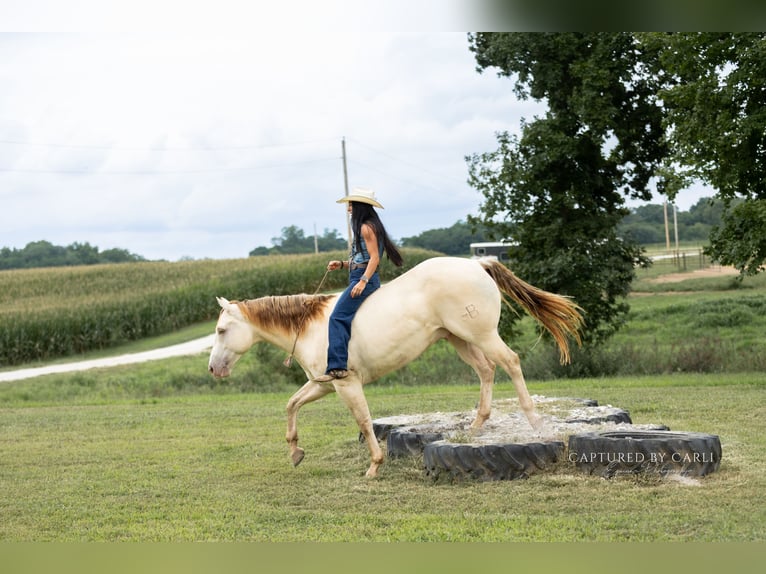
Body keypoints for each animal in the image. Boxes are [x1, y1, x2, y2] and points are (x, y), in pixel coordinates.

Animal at [208, 256, 583, 478]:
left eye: (221, 330)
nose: (213, 369)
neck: (310, 326)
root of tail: (476, 263)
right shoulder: (322, 384)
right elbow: (291, 405)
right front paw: (296, 452)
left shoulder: (346, 384)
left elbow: (363, 419)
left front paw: (375, 466)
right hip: (459, 339)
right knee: (486, 371)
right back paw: (476, 427)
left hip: (481, 334)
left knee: (510, 363)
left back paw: (534, 421)